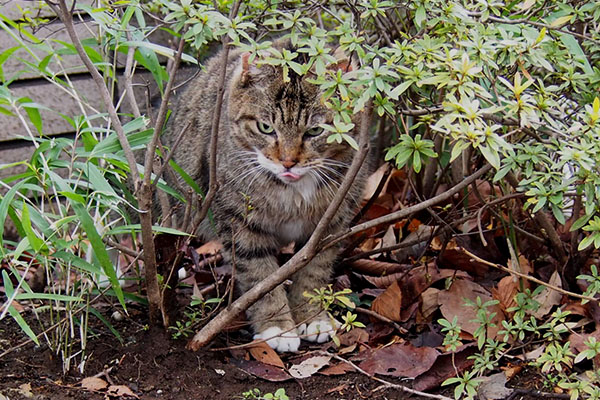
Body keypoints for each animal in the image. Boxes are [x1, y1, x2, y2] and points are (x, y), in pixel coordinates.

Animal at [163, 40, 366, 352]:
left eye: (316, 130)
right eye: (266, 128)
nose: (288, 162)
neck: (293, 190)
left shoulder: (329, 224)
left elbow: (314, 270)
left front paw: (312, 316)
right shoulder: (240, 224)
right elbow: (260, 276)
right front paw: (277, 327)